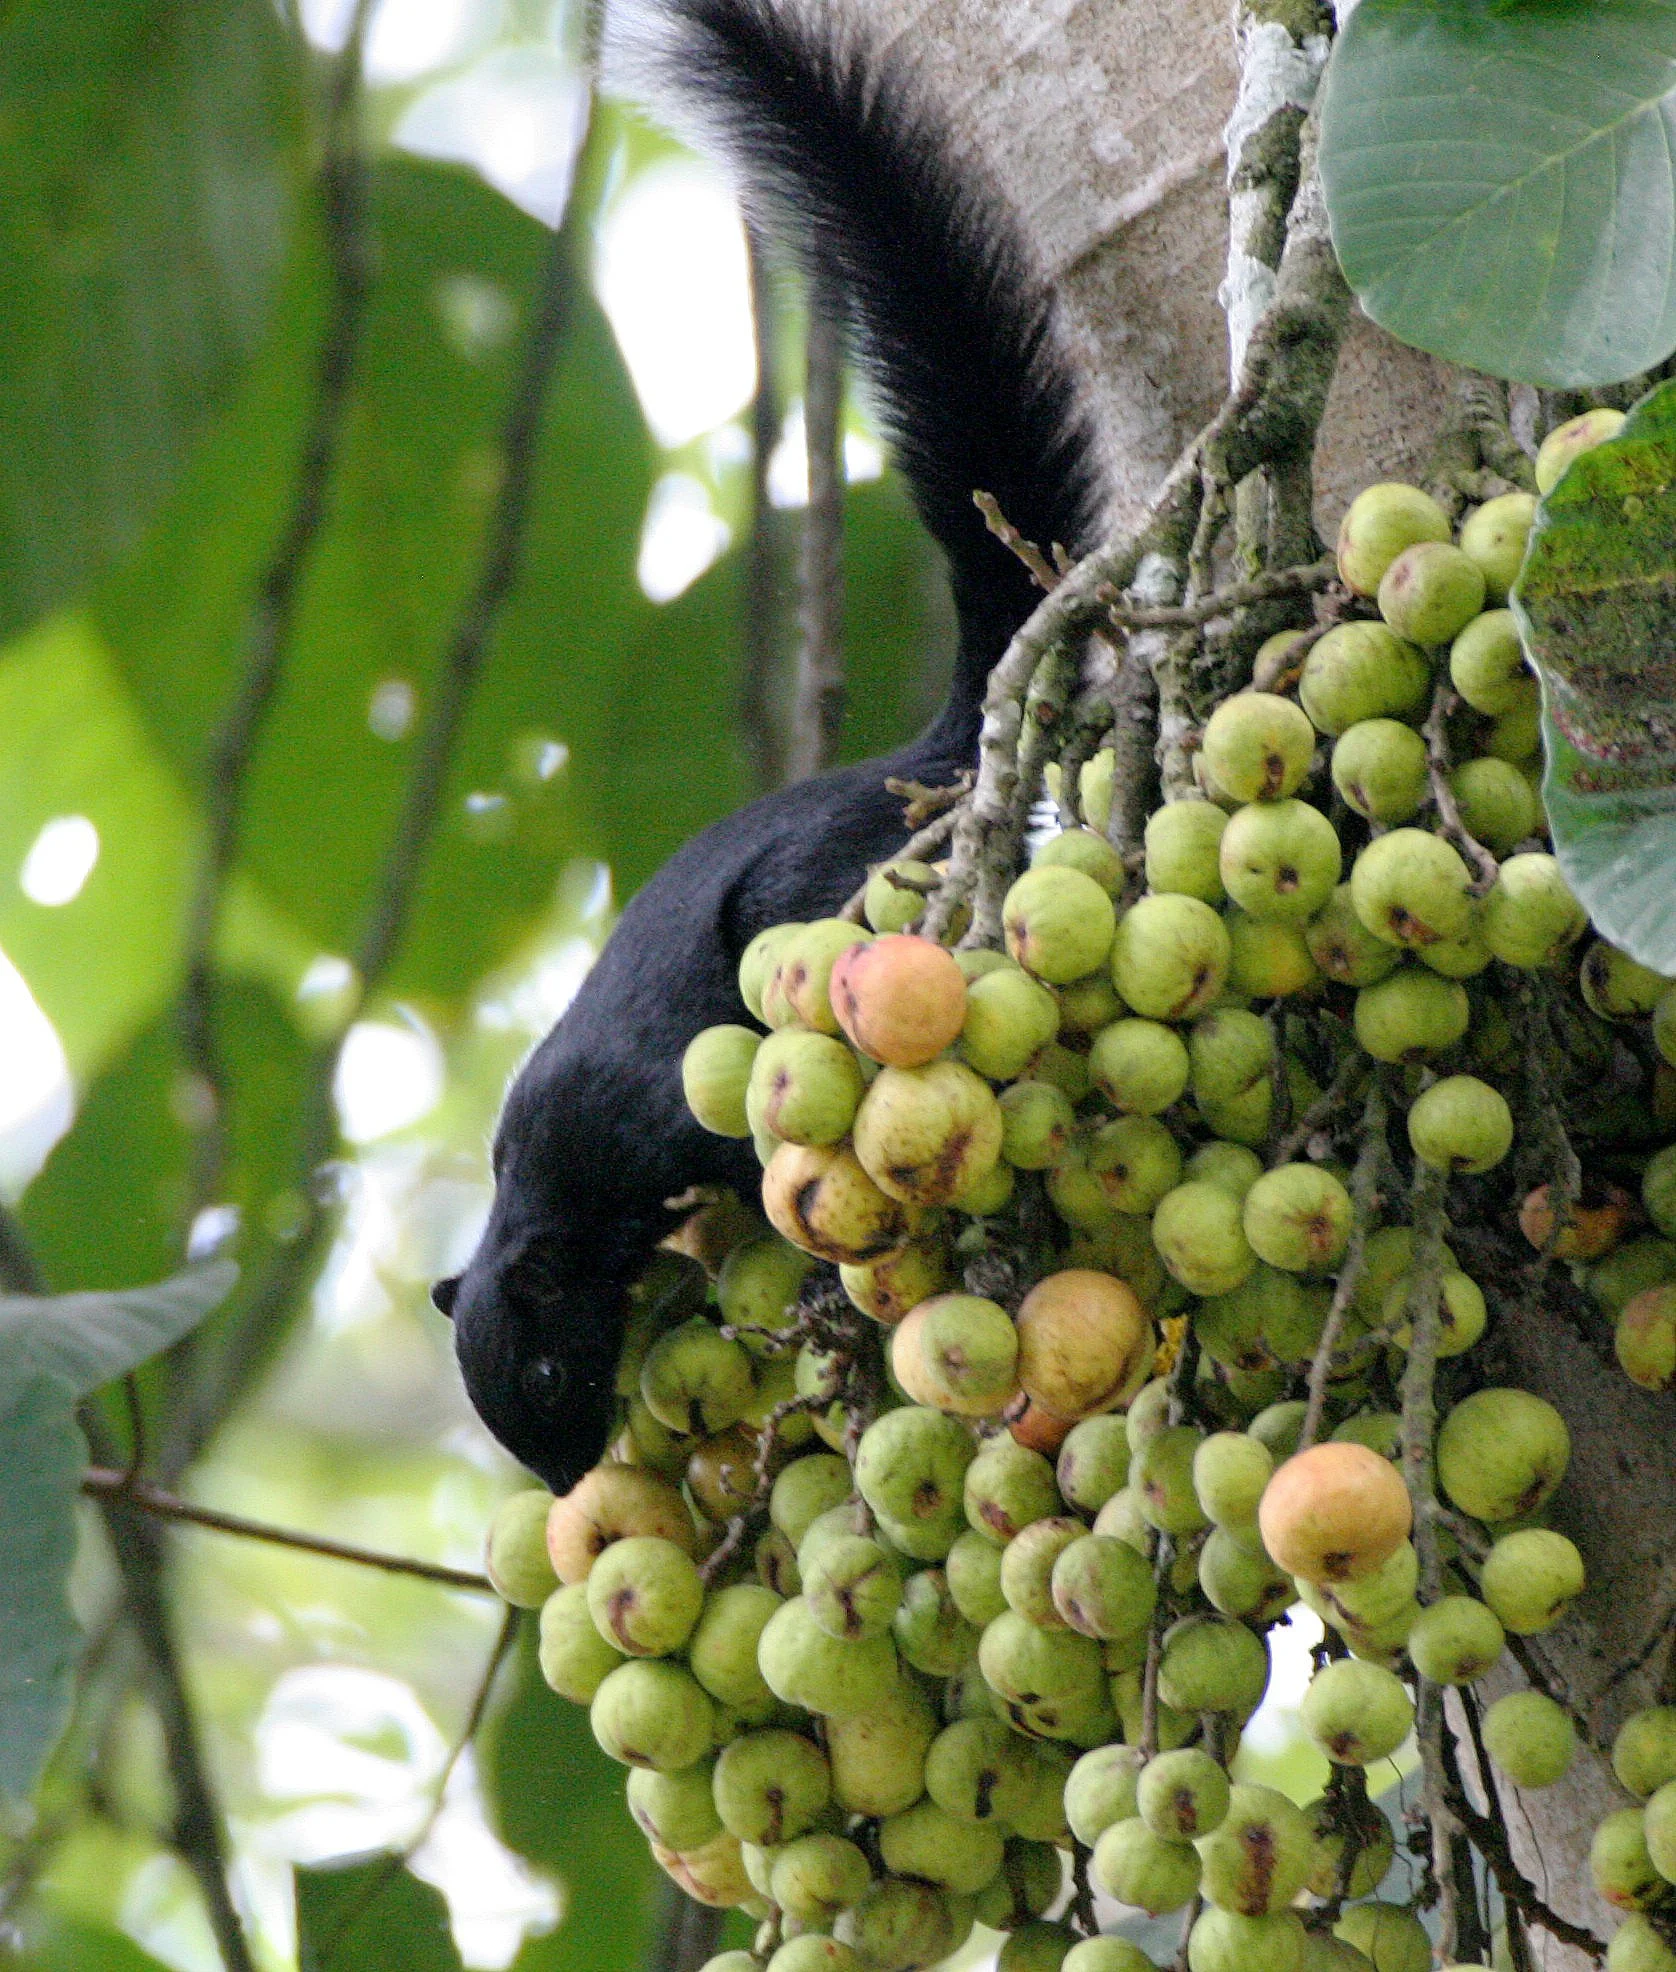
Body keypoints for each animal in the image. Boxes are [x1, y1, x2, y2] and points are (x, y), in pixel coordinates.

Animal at [434, 0, 1109, 1494]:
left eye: (551, 1372)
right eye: (507, 1412)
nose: (568, 1480)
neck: (550, 1193)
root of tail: (934, 750)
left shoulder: (652, 1120)